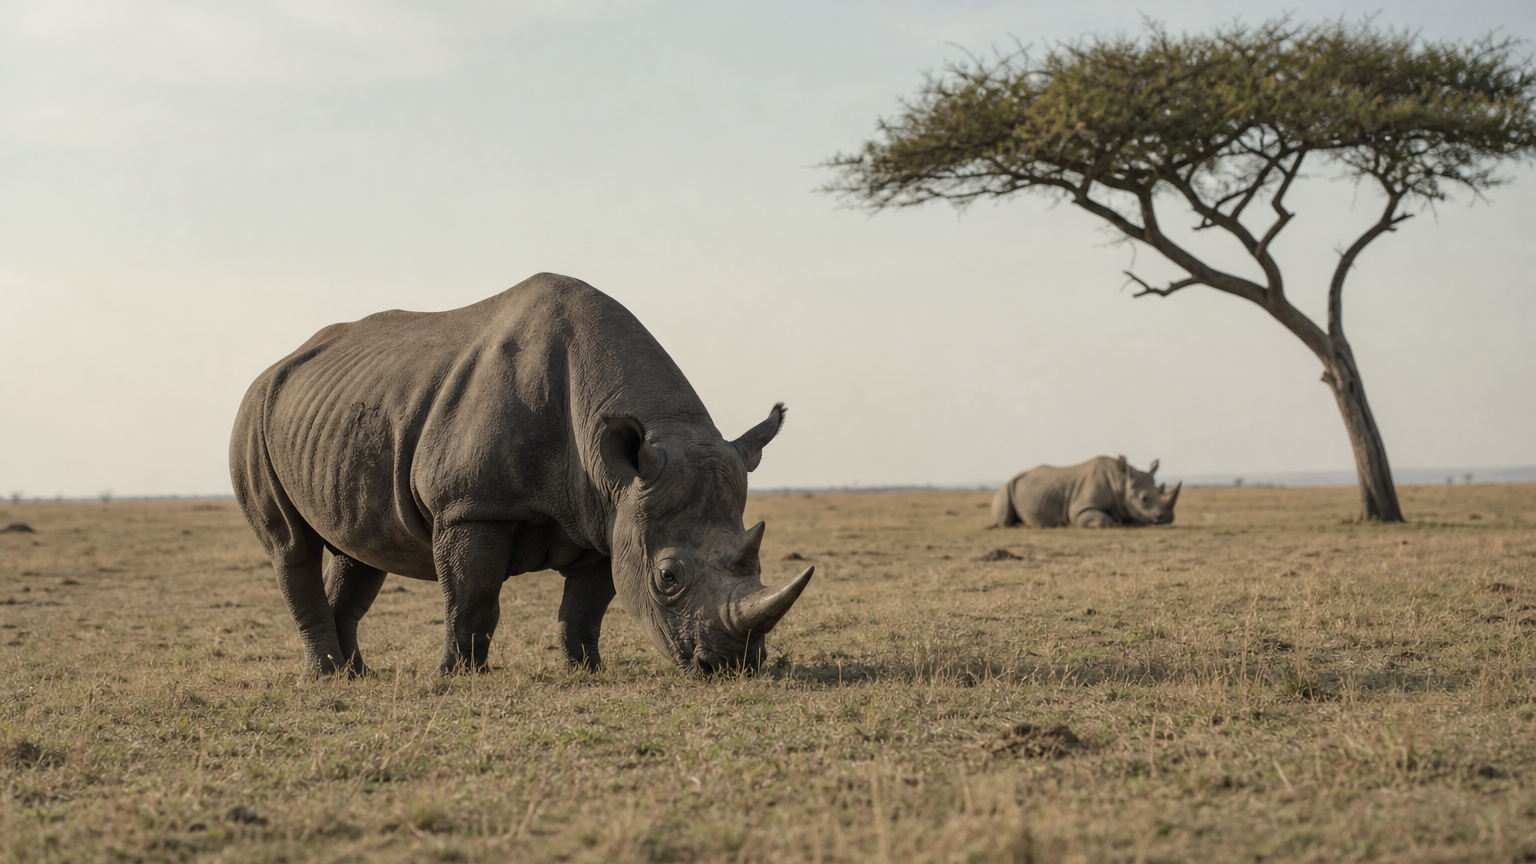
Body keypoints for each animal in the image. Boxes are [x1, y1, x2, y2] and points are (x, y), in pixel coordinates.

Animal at [229, 273, 813, 678]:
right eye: (668, 578)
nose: (731, 667)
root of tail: (275, 367)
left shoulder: (612, 516)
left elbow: (584, 609)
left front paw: (586, 671)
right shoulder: (472, 507)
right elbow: (472, 599)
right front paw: (457, 677)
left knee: (361, 549)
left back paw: (355, 674)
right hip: (252, 413)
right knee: (291, 546)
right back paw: (327, 676)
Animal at [991, 456, 1180, 528]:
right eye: (1144, 499)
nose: (1167, 517)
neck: (1120, 482)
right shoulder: (1081, 507)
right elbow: (1104, 520)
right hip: (1004, 490)